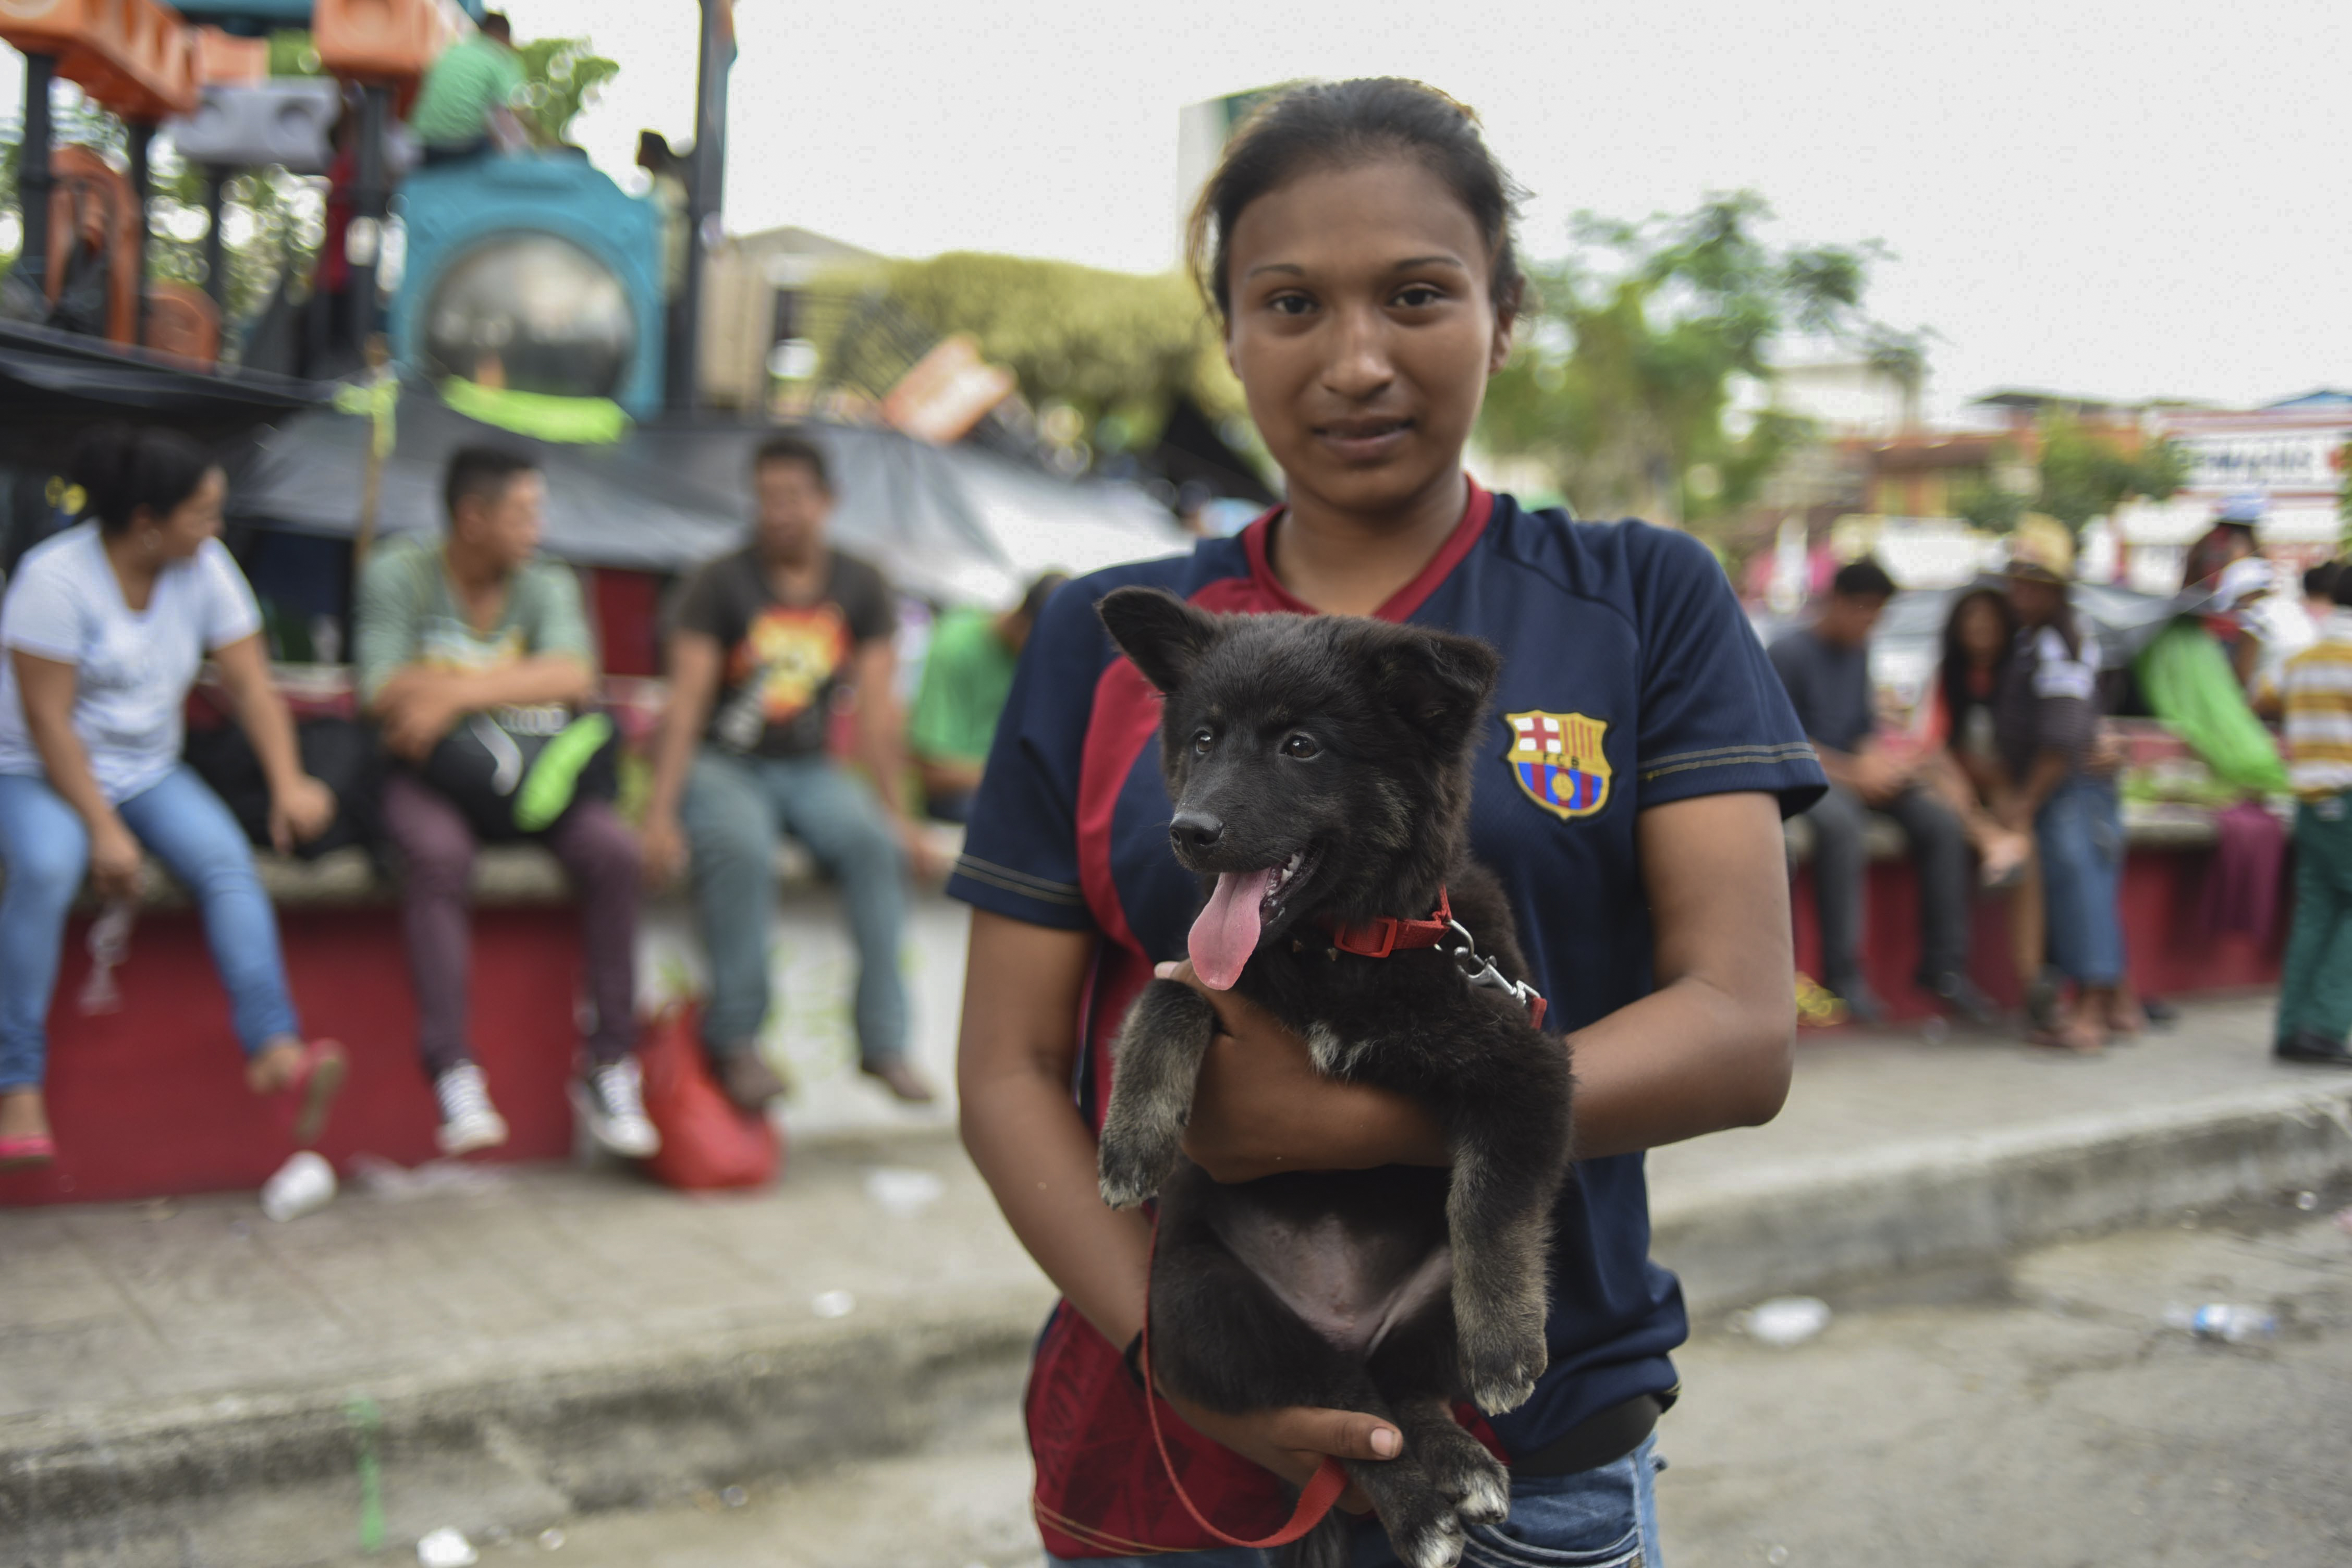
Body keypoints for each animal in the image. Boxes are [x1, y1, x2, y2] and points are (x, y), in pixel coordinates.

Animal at [1091, 585, 1571, 1568]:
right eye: (1204, 739)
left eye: (1301, 746)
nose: (1189, 832)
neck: (1336, 950)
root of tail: (1344, 1320)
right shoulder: (1205, 977)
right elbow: (1169, 998)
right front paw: (1132, 1139)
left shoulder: (1524, 1064)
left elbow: (1492, 1203)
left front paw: (1506, 1343)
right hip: (1202, 1304)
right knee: (1346, 1413)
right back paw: (1419, 1507)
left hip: (1418, 1304)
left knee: (1403, 1395)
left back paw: (1459, 1462)